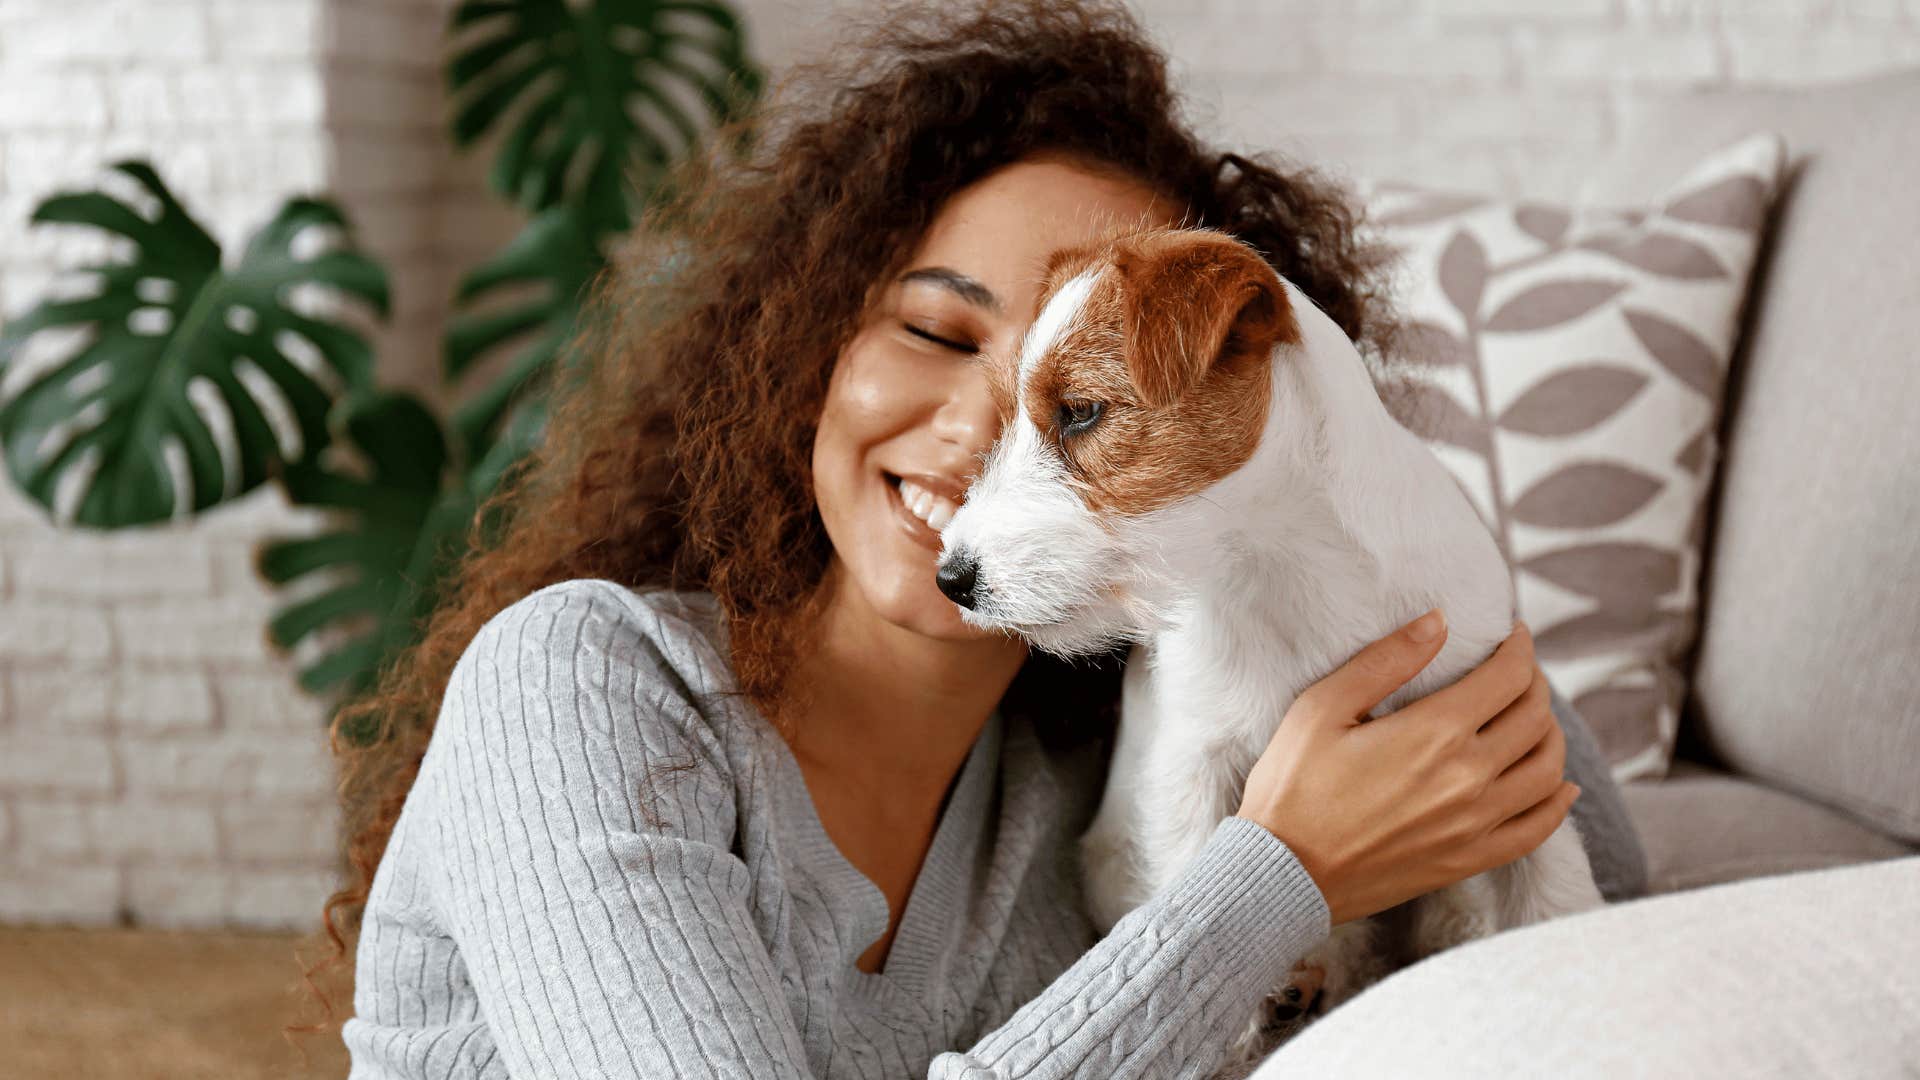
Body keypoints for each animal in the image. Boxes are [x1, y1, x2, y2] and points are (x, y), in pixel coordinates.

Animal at [929, 226, 1605, 1068]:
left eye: (1080, 412)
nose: (951, 577)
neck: (1282, 566)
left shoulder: (1509, 741)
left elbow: (1552, 887)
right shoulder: (1195, 765)